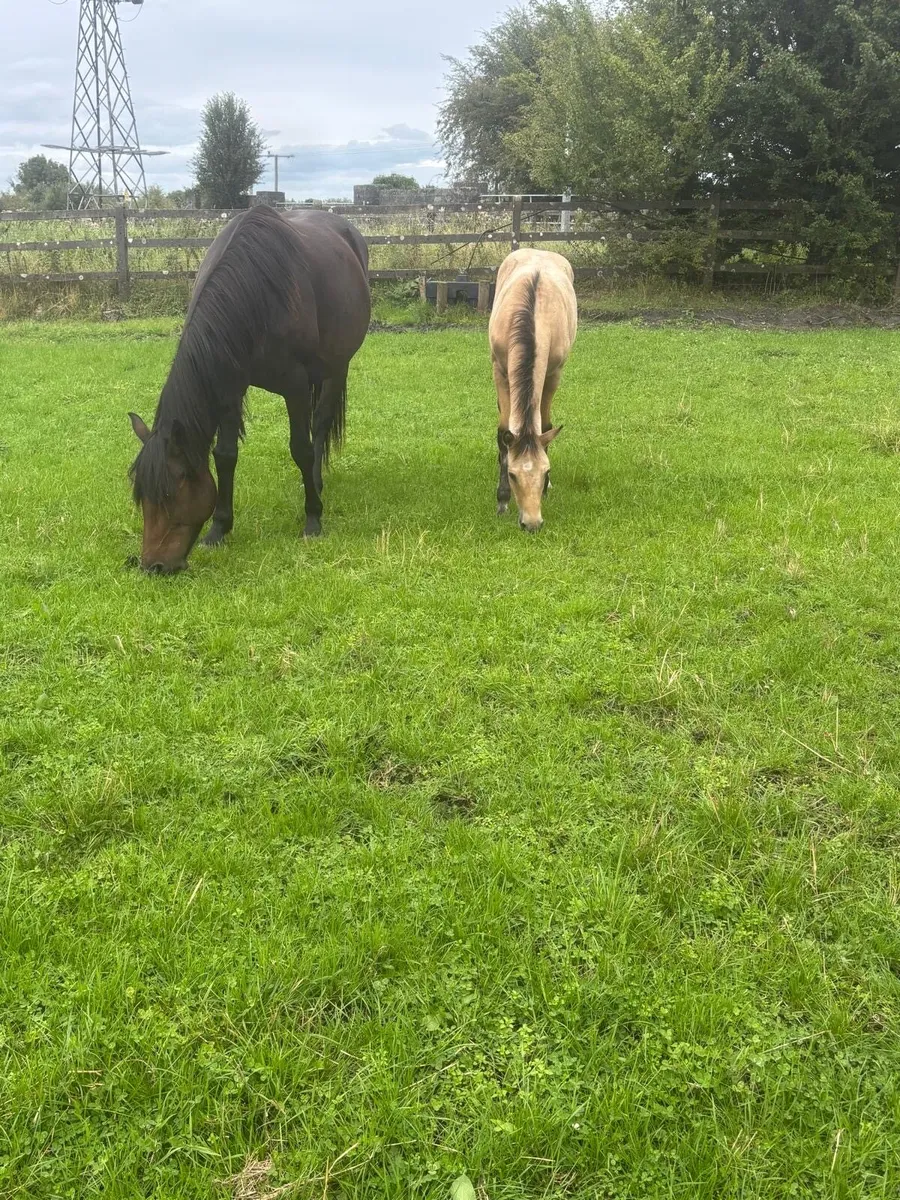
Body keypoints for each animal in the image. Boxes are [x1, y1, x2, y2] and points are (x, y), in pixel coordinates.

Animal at [128, 205, 370, 574]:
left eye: (171, 492)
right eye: (142, 496)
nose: (153, 566)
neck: (257, 294)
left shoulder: (295, 386)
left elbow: (301, 449)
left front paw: (313, 520)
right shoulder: (229, 386)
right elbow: (225, 456)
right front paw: (218, 529)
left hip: (335, 367)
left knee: (320, 426)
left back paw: (315, 484)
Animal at [489, 248, 577, 531]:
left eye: (545, 471)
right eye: (513, 475)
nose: (532, 523)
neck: (535, 318)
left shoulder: (553, 373)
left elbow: (546, 426)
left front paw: (547, 489)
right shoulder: (499, 370)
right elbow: (503, 432)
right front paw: (502, 500)